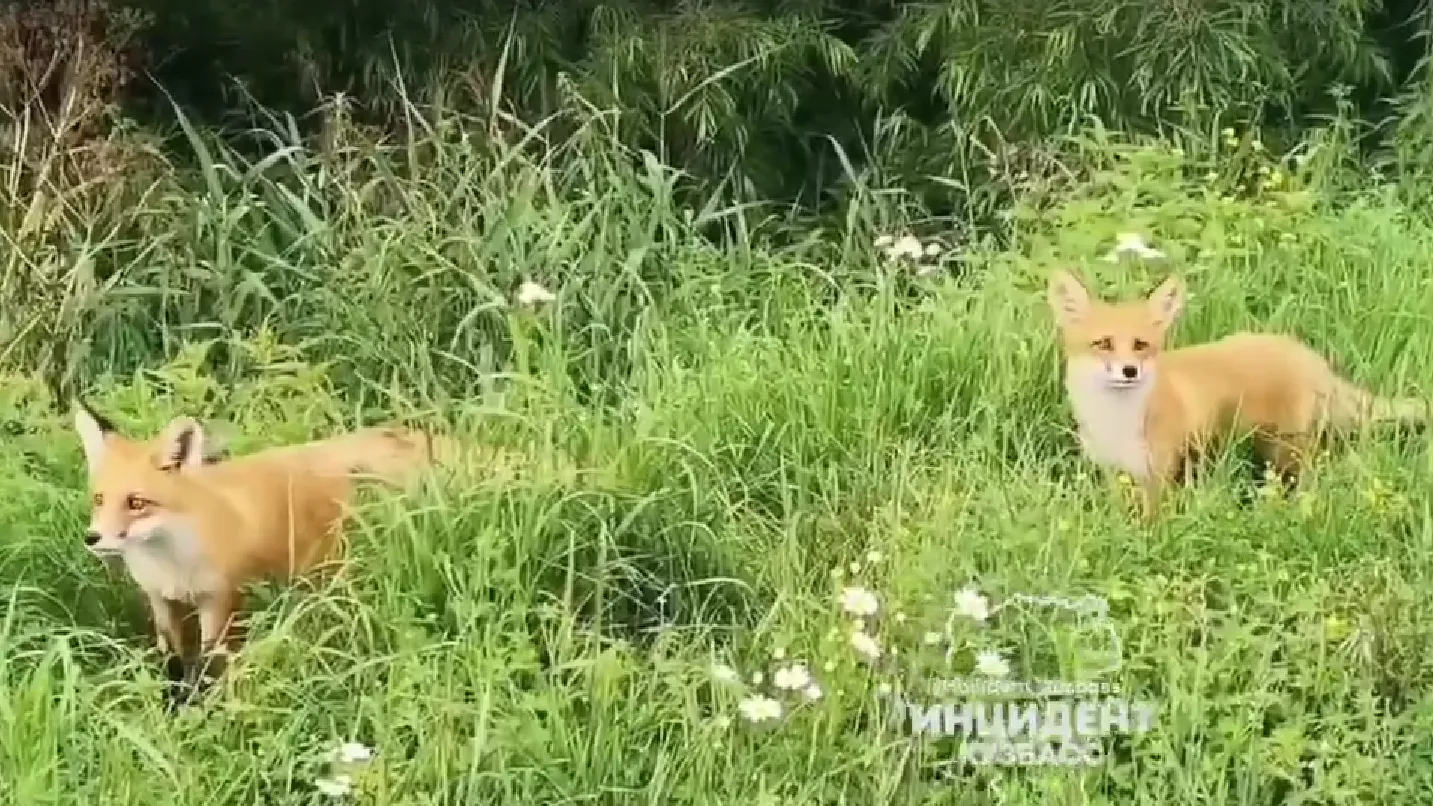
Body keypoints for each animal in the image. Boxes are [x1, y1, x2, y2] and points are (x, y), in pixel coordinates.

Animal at [67, 401, 444, 702]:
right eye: (99, 499)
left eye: (136, 503)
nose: (92, 537)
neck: (173, 563)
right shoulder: (162, 600)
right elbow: (173, 663)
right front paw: (172, 707)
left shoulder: (219, 602)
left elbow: (208, 666)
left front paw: (198, 713)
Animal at [1048, 268, 1427, 522]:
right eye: (1103, 343)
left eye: (1141, 345)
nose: (1129, 371)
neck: (1117, 422)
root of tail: (1310, 356)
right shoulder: (1114, 473)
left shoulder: (1157, 475)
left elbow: (1151, 523)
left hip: (1288, 450)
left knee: (1309, 480)